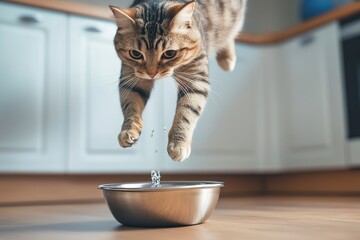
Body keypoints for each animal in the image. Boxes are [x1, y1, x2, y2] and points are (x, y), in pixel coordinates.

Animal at [109, 0, 248, 161]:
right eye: (135, 54)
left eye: (169, 53)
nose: (152, 74)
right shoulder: (132, 79)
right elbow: (130, 106)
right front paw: (129, 130)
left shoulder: (196, 80)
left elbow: (186, 113)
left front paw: (178, 143)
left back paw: (227, 58)